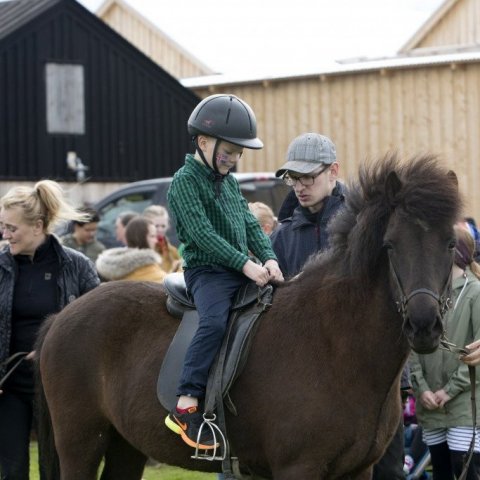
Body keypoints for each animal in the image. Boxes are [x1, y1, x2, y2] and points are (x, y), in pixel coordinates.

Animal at [36, 153, 462, 476]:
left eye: (450, 243)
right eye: (389, 245)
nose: (423, 325)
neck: (335, 343)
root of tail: (60, 317)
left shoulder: (359, 470)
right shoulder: (299, 469)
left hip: (125, 446)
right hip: (81, 444)